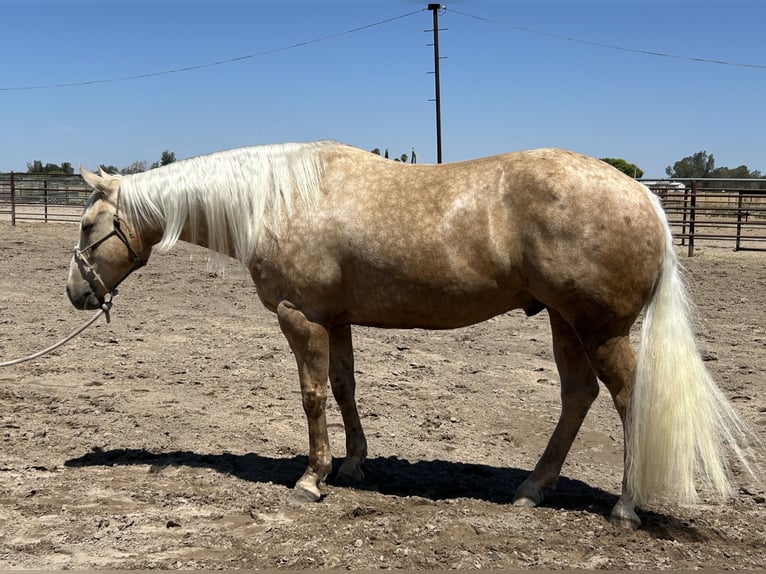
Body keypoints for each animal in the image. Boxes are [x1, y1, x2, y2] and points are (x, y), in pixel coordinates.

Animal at [66, 141, 759, 529]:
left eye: (87, 226)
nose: (77, 294)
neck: (278, 199)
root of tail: (645, 196)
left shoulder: (301, 316)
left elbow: (312, 396)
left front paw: (310, 480)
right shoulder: (336, 319)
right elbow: (344, 388)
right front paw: (352, 466)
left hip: (601, 328)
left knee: (625, 400)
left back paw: (624, 506)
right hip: (565, 323)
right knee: (577, 397)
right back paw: (531, 491)